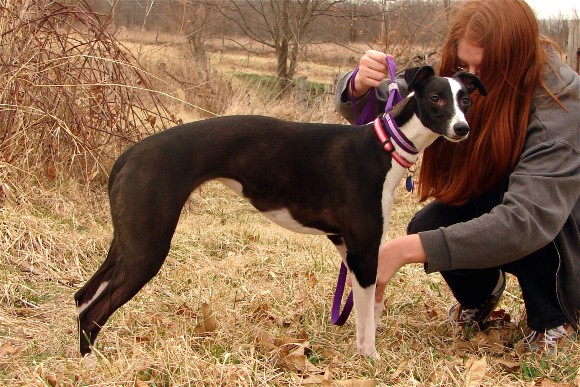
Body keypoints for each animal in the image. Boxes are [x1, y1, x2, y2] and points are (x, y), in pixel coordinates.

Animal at [76, 66, 484, 360]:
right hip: (148, 248)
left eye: (464, 99)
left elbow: (363, 312)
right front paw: (371, 359)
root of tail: (131, 154)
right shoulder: (366, 251)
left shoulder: (347, 247)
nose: (462, 129)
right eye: (436, 98)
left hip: (129, 241)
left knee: (83, 298)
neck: (383, 146)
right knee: (93, 312)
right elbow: (368, 318)